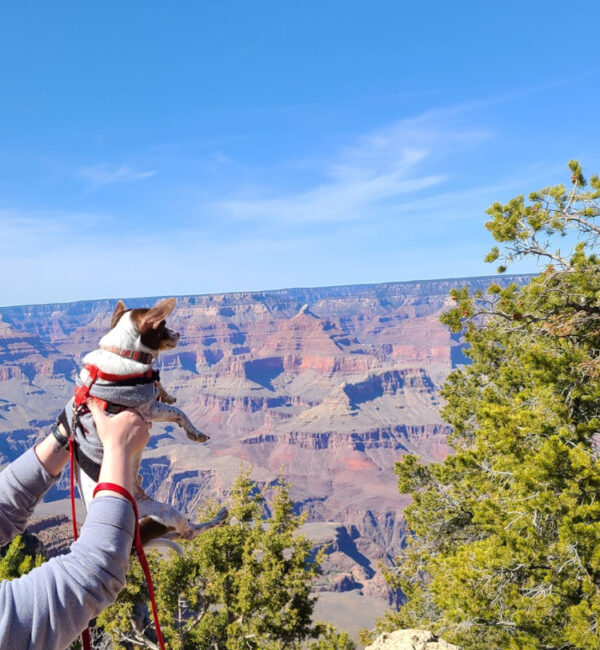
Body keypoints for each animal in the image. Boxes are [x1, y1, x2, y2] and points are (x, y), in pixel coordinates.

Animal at [61, 298, 225, 548]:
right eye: (163, 325)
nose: (178, 333)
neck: (124, 352)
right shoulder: (148, 409)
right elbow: (179, 413)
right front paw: (195, 432)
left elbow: (159, 384)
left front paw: (166, 393)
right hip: (165, 512)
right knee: (188, 532)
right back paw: (219, 518)